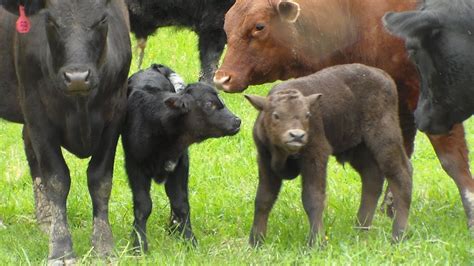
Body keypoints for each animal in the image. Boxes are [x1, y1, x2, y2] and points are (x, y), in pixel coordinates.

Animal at [0, 0, 131, 262]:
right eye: (50, 20)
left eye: (102, 19)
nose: (77, 77)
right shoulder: (36, 112)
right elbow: (57, 180)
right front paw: (61, 248)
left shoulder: (116, 113)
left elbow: (100, 180)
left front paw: (104, 245)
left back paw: (46, 220)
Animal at [122, 63, 241, 250]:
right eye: (209, 104)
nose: (237, 121)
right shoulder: (135, 165)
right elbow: (143, 205)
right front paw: (139, 244)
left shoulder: (180, 164)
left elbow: (181, 203)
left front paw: (189, 240)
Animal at [246, 63, 412, 246]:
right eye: (276, 115)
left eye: (307, 115)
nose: (297, 135)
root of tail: (383, 75)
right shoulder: (265, 159)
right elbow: (263, 199)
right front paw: (255, 241)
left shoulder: (316, 155)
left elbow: (313, 198)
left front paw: (316, 242)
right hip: (358, 149)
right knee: (372, 177)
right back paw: (360, 228)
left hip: (384, 138)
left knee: (400, 174)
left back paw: (398, 235)